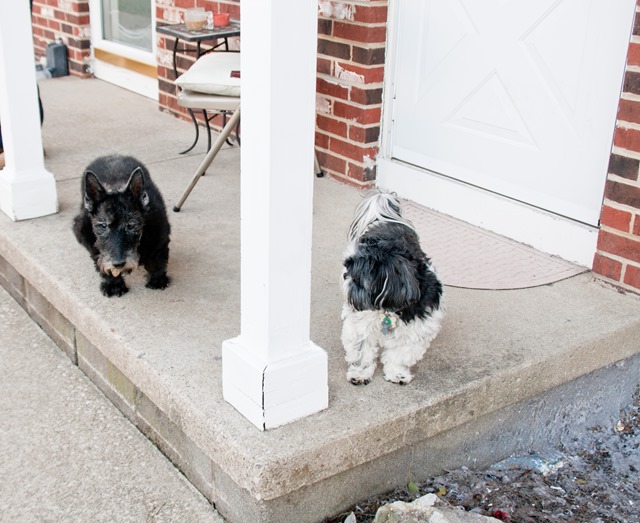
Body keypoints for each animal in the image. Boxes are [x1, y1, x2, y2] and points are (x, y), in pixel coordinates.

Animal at [72, 154, 171, 297]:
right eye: (103, 225)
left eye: (131, 225)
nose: (118, 264)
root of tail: (113, 155)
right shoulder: (85, 235)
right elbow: (99, 257)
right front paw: (113, 284)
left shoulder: (160, 236)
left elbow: (157, 259)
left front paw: (157, 280)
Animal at [341, 191, 444, 385]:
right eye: (347, 268)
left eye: (357, 278)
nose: (346, 277)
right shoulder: (361, 325)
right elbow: (362, 350)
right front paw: (360, 373)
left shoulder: (417, 328)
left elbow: (400, 354)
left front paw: (397, 374)